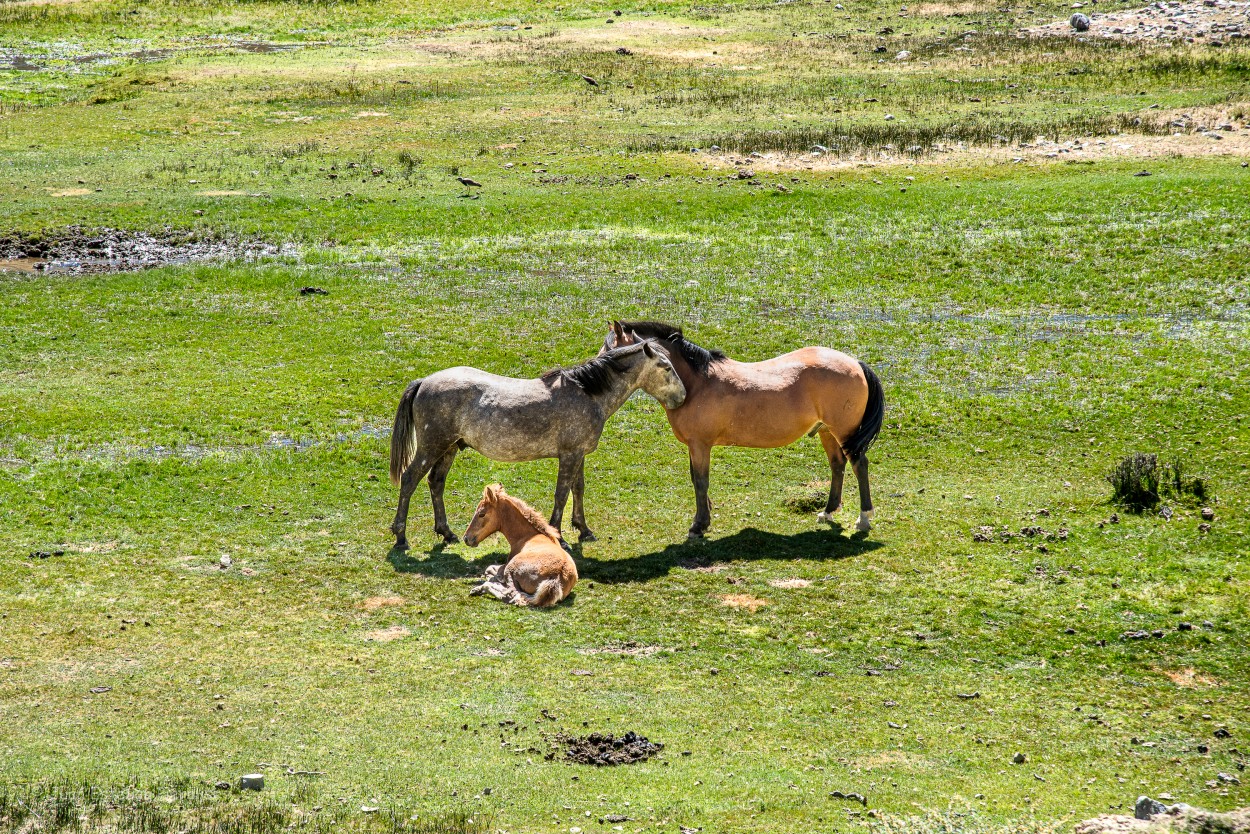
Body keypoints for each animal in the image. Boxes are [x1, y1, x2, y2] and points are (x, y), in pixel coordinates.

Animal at [387, 342, 685, 550]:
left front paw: (584, 529)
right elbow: (562, 494)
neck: (586, 394)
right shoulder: (569, 455)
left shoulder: (579, 454)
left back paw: (447, 532)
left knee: (435, 482)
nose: (682, 397)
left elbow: (578, 489)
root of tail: (423, 382)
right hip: (431, 446)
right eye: (666, 367)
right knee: (410, 479)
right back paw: (401, 536)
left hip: (449, 448)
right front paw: (559, 536)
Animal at [602, 320, 880, 542]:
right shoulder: (694, 446)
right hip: (826, 431)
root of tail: (855, 363)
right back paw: (828, 511)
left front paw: (698, 525)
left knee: (859, 464)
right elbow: (695, 479)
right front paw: (705, 518)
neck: (696, 384)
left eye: (609, 352)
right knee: (837, 465)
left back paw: (864, 518)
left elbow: (700, 481)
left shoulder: (700, 444)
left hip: (844, 431)